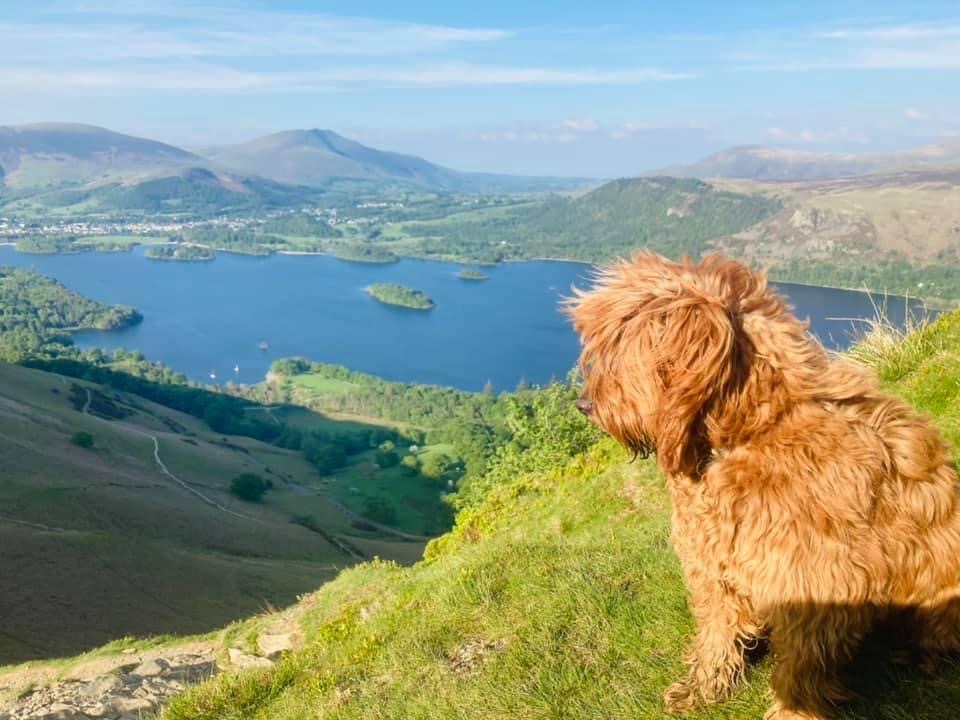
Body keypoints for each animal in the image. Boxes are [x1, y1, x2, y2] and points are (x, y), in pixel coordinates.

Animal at [568, 253, 960, 720]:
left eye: (622, 353)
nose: (584, 405)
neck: (752, 432)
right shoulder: (713, 568)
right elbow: (718, 632)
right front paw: (704, 688)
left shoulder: (813, 587)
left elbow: (800, 669)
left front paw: (791, 709)